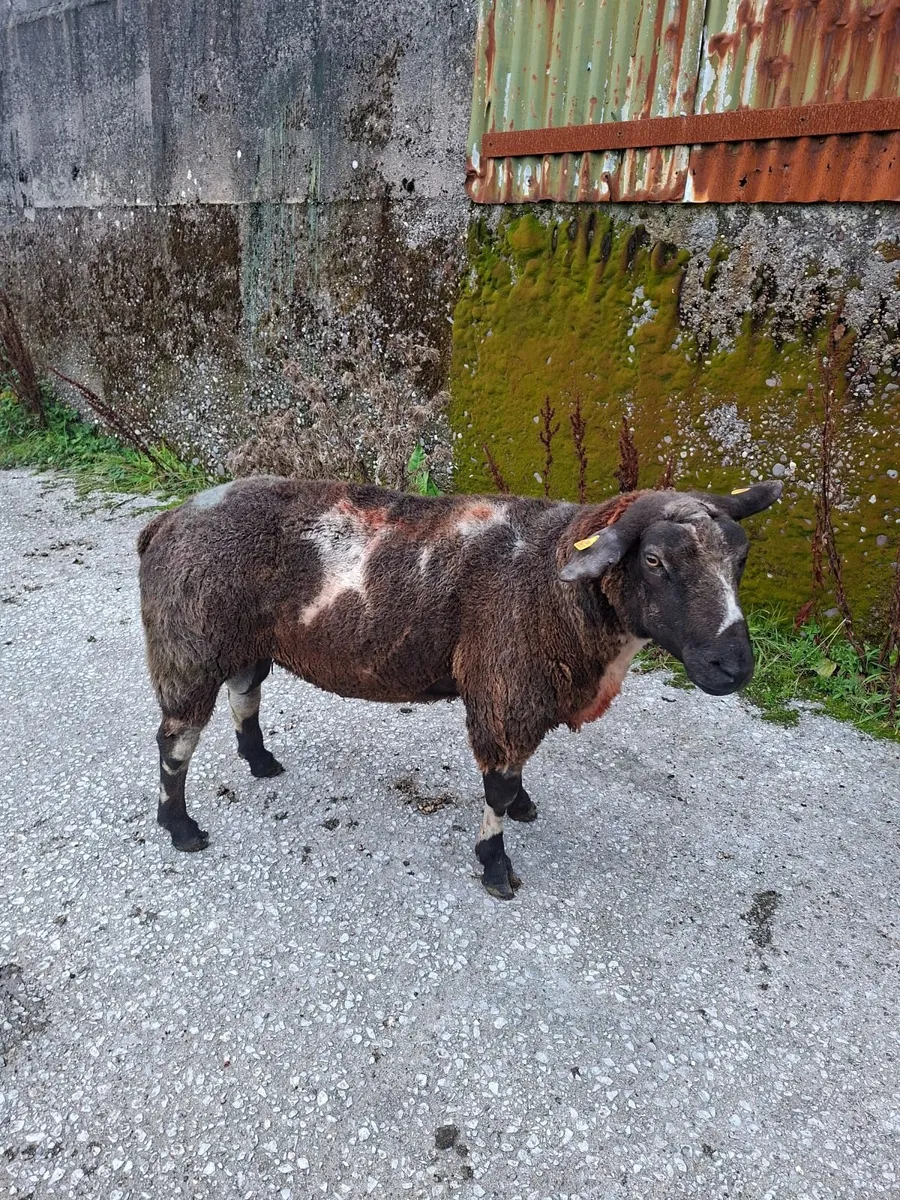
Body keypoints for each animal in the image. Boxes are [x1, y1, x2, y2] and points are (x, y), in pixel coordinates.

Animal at [138, 475, 782, 899]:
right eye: (653, 561)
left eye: (742, 557)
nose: (734, 667)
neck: (554, 582)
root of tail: (167, 520)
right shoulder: (505, 686)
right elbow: (497, 787)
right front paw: (495, 866)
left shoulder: (522, 691)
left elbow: (515, 776)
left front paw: (523, 807)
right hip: (189, 641)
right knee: (176, 740)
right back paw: (181, 827)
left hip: (243, 639)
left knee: (244, 694)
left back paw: (261, 761)